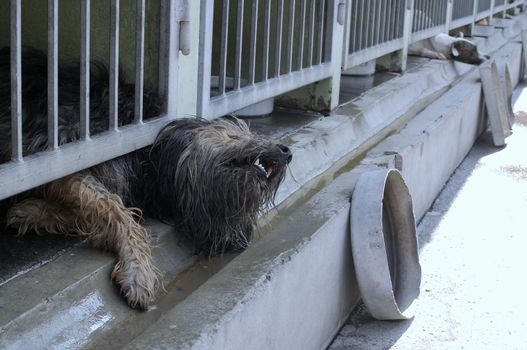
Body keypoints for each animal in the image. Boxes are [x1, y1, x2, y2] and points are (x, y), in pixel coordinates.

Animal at [0, 46, 292, 308]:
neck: (151, 159)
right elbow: (114, 207)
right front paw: (137, 271)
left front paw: (33, 211)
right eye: (234, 134)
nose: (286, 151)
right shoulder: (63, 155)